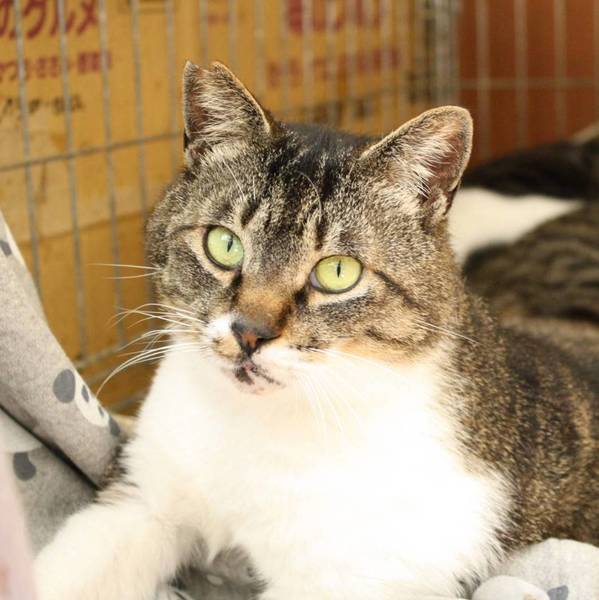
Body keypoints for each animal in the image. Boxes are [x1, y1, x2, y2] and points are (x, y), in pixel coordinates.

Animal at [34, 62, 599, 600]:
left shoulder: (346, 579)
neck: (254, 425)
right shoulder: (140, 496)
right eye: (224, 244)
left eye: (338, 272)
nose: (250, 332)